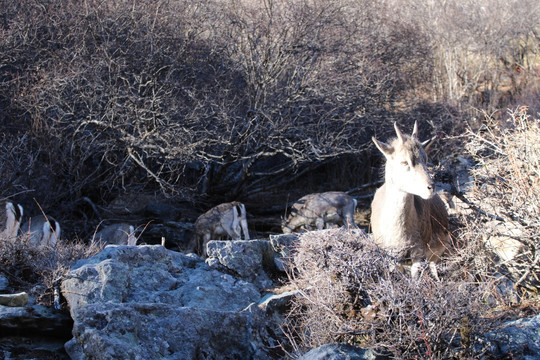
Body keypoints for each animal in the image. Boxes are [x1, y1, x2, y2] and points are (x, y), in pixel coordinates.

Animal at [370, 122, 450, 280]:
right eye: (404, 162)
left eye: (425, 159)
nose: (430, 187)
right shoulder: (391, 255)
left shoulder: (418, 251)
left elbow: (415, 277)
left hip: (438, 250)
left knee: (433, 266)